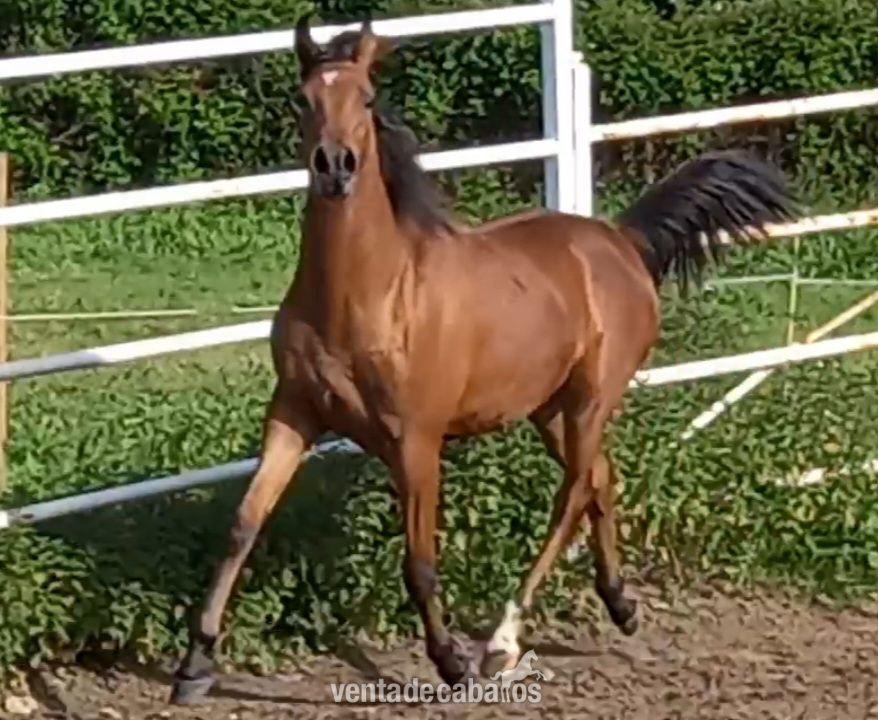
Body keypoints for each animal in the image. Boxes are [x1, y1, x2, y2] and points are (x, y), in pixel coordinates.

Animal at [169, 17, 796, 705]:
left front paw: (451, 662)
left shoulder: (416, 440)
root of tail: (621, 239)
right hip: (547, 409)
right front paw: (194, 666)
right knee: (600, 478)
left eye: (366, 97)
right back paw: (619, 604)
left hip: (592, 398)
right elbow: (242, 526)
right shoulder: (294, 413)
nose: (335, 167)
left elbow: (418, 561)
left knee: (571, 495)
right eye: (304, 99)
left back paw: (502, 642)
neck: (365, 296)